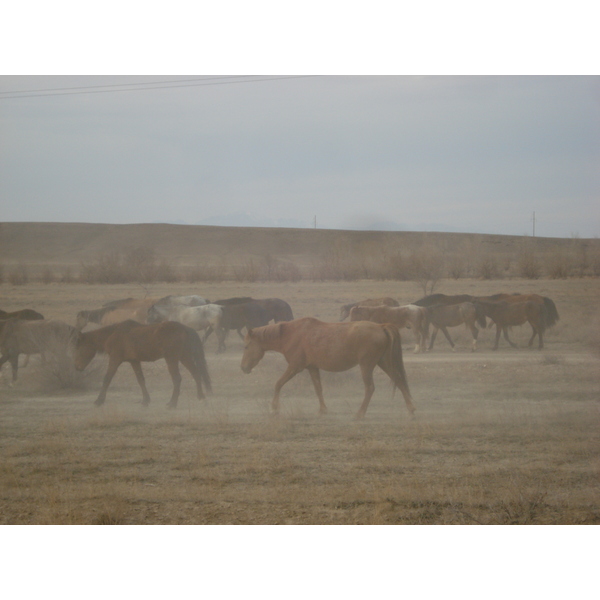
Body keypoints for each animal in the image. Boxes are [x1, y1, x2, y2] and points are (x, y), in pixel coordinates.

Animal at [74, 318, 212, 408]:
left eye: (79, 348)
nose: (77, 367)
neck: (113, 334)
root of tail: (185, 328)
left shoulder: (115, 359)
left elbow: (107, 379)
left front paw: (99, 401)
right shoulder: (134, 361)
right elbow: (140, 379)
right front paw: (146, 400)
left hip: (172, 359)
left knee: (177, 378)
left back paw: (172, 403)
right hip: (184, 357)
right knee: (196, 374)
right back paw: (201, 396)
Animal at [241, 316, 414, 420]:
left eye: (246, 346)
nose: (243, 367)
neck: (291, 334)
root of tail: (381, 327)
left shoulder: (295, 367)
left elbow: (278, 384)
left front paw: (274, 409)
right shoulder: (312, 368)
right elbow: (318, 389)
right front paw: (322, 410)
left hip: (367, 366)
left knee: (370, 388)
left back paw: (359, 414)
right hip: (383, 363)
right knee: (399, 382)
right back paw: (411, 410)